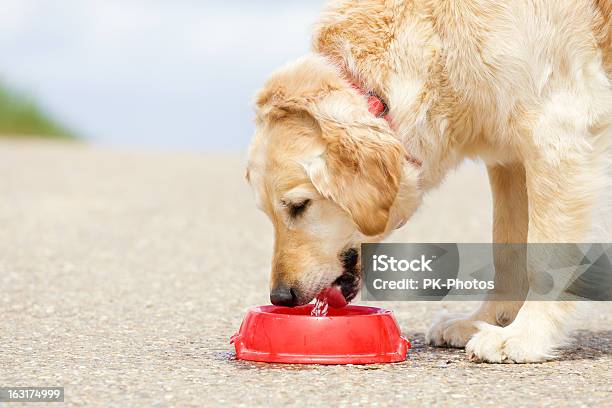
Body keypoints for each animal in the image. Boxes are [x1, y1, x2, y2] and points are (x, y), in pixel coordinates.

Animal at [246, 0, 608, 364]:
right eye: (268, 214)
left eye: (299, 206)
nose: (281, 297)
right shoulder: (508, 158)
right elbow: (506, 249)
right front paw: (486, 321)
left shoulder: (554, 134)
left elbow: (542, 257)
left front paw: (525, 335)